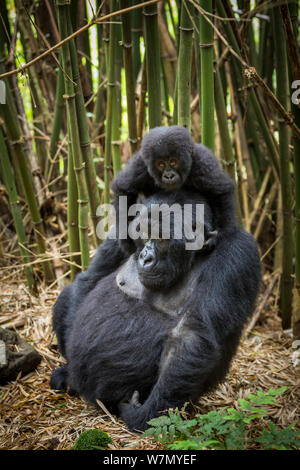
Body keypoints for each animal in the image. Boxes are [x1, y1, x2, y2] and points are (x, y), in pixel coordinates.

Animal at [50, 189, 262, 432]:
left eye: (161, 238)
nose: (145, 257)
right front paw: (69, 372)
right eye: (142, 233)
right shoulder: (120, 232)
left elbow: (190, 335)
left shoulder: (237, 252)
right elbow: (90, 278)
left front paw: (144, 417)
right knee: (69, 294)